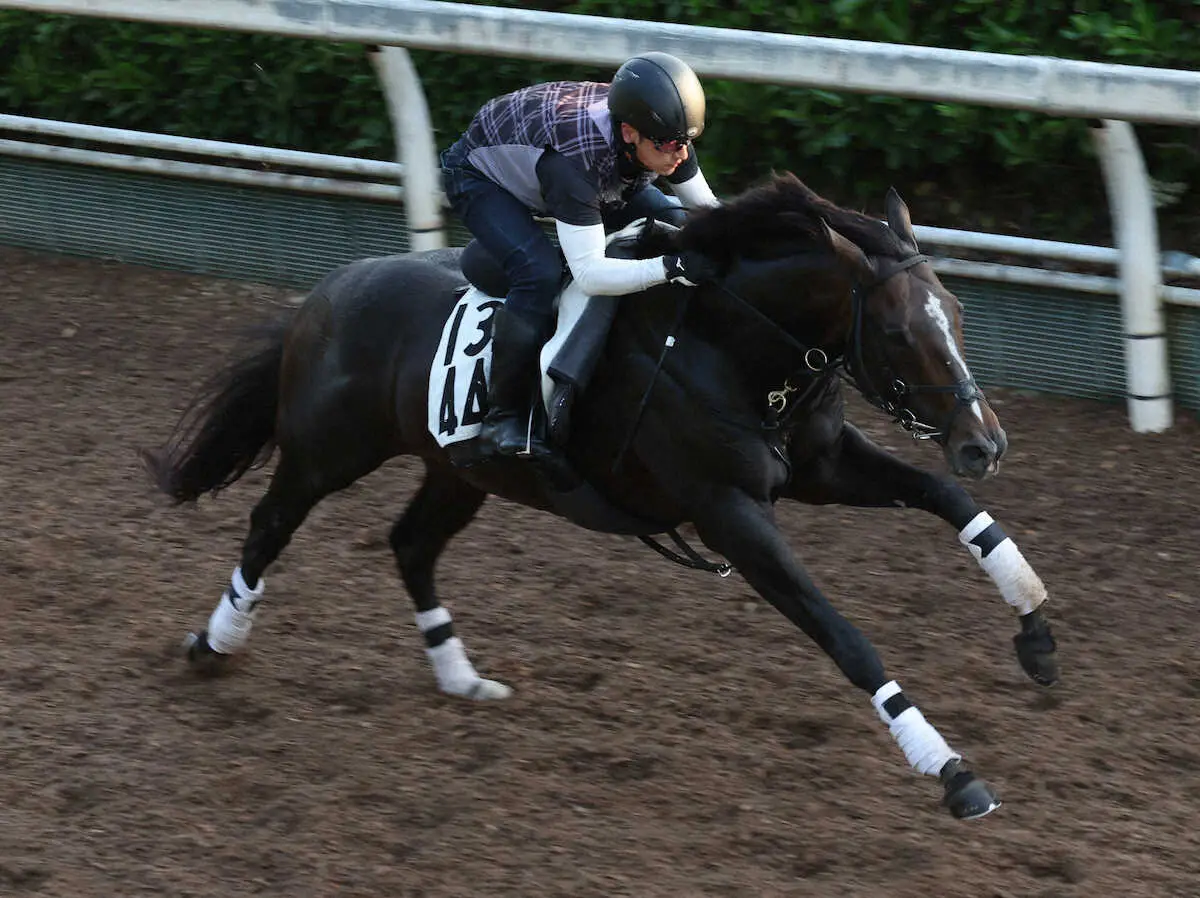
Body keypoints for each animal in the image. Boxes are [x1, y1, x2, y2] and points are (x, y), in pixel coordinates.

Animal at [142, 170, 1060, 821]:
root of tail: (327, 292)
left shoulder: (821, 468)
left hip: (461, 469)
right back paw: (216, 641)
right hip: (326, 453)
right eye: (901, 332)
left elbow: (949, 502)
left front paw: (1038, 634)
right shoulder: (728, 513)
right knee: (269, 525)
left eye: (958, 313)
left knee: (410, 544)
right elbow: (846, 637)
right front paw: (951, 769)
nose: (985, 442)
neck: (728, 344)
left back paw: (461, 679)